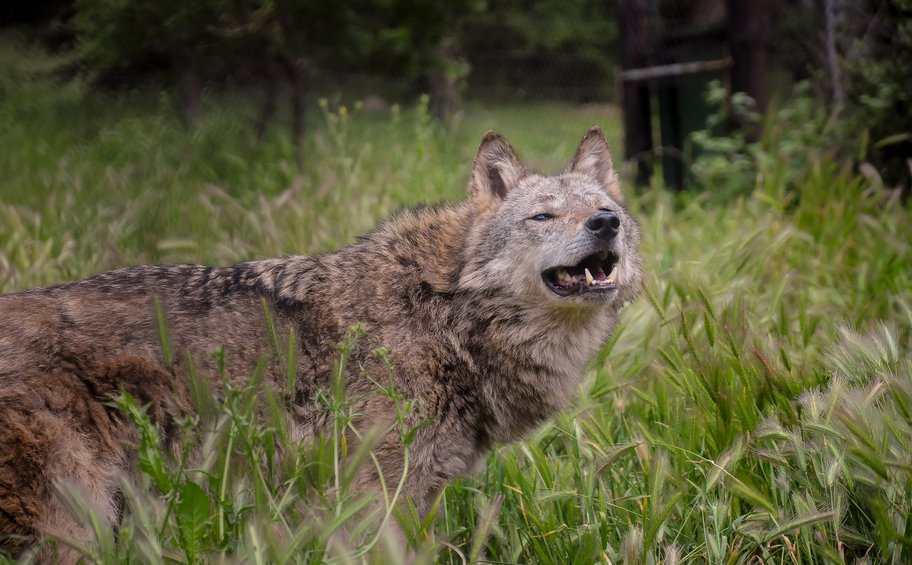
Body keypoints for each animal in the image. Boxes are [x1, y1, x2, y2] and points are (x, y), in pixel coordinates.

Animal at [0, 126, 640, 556]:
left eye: (603, 208)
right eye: (543, 217)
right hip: (71, 523)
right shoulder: (372, 492)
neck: (444, 312)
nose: (605, 223)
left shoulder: (418, 493)